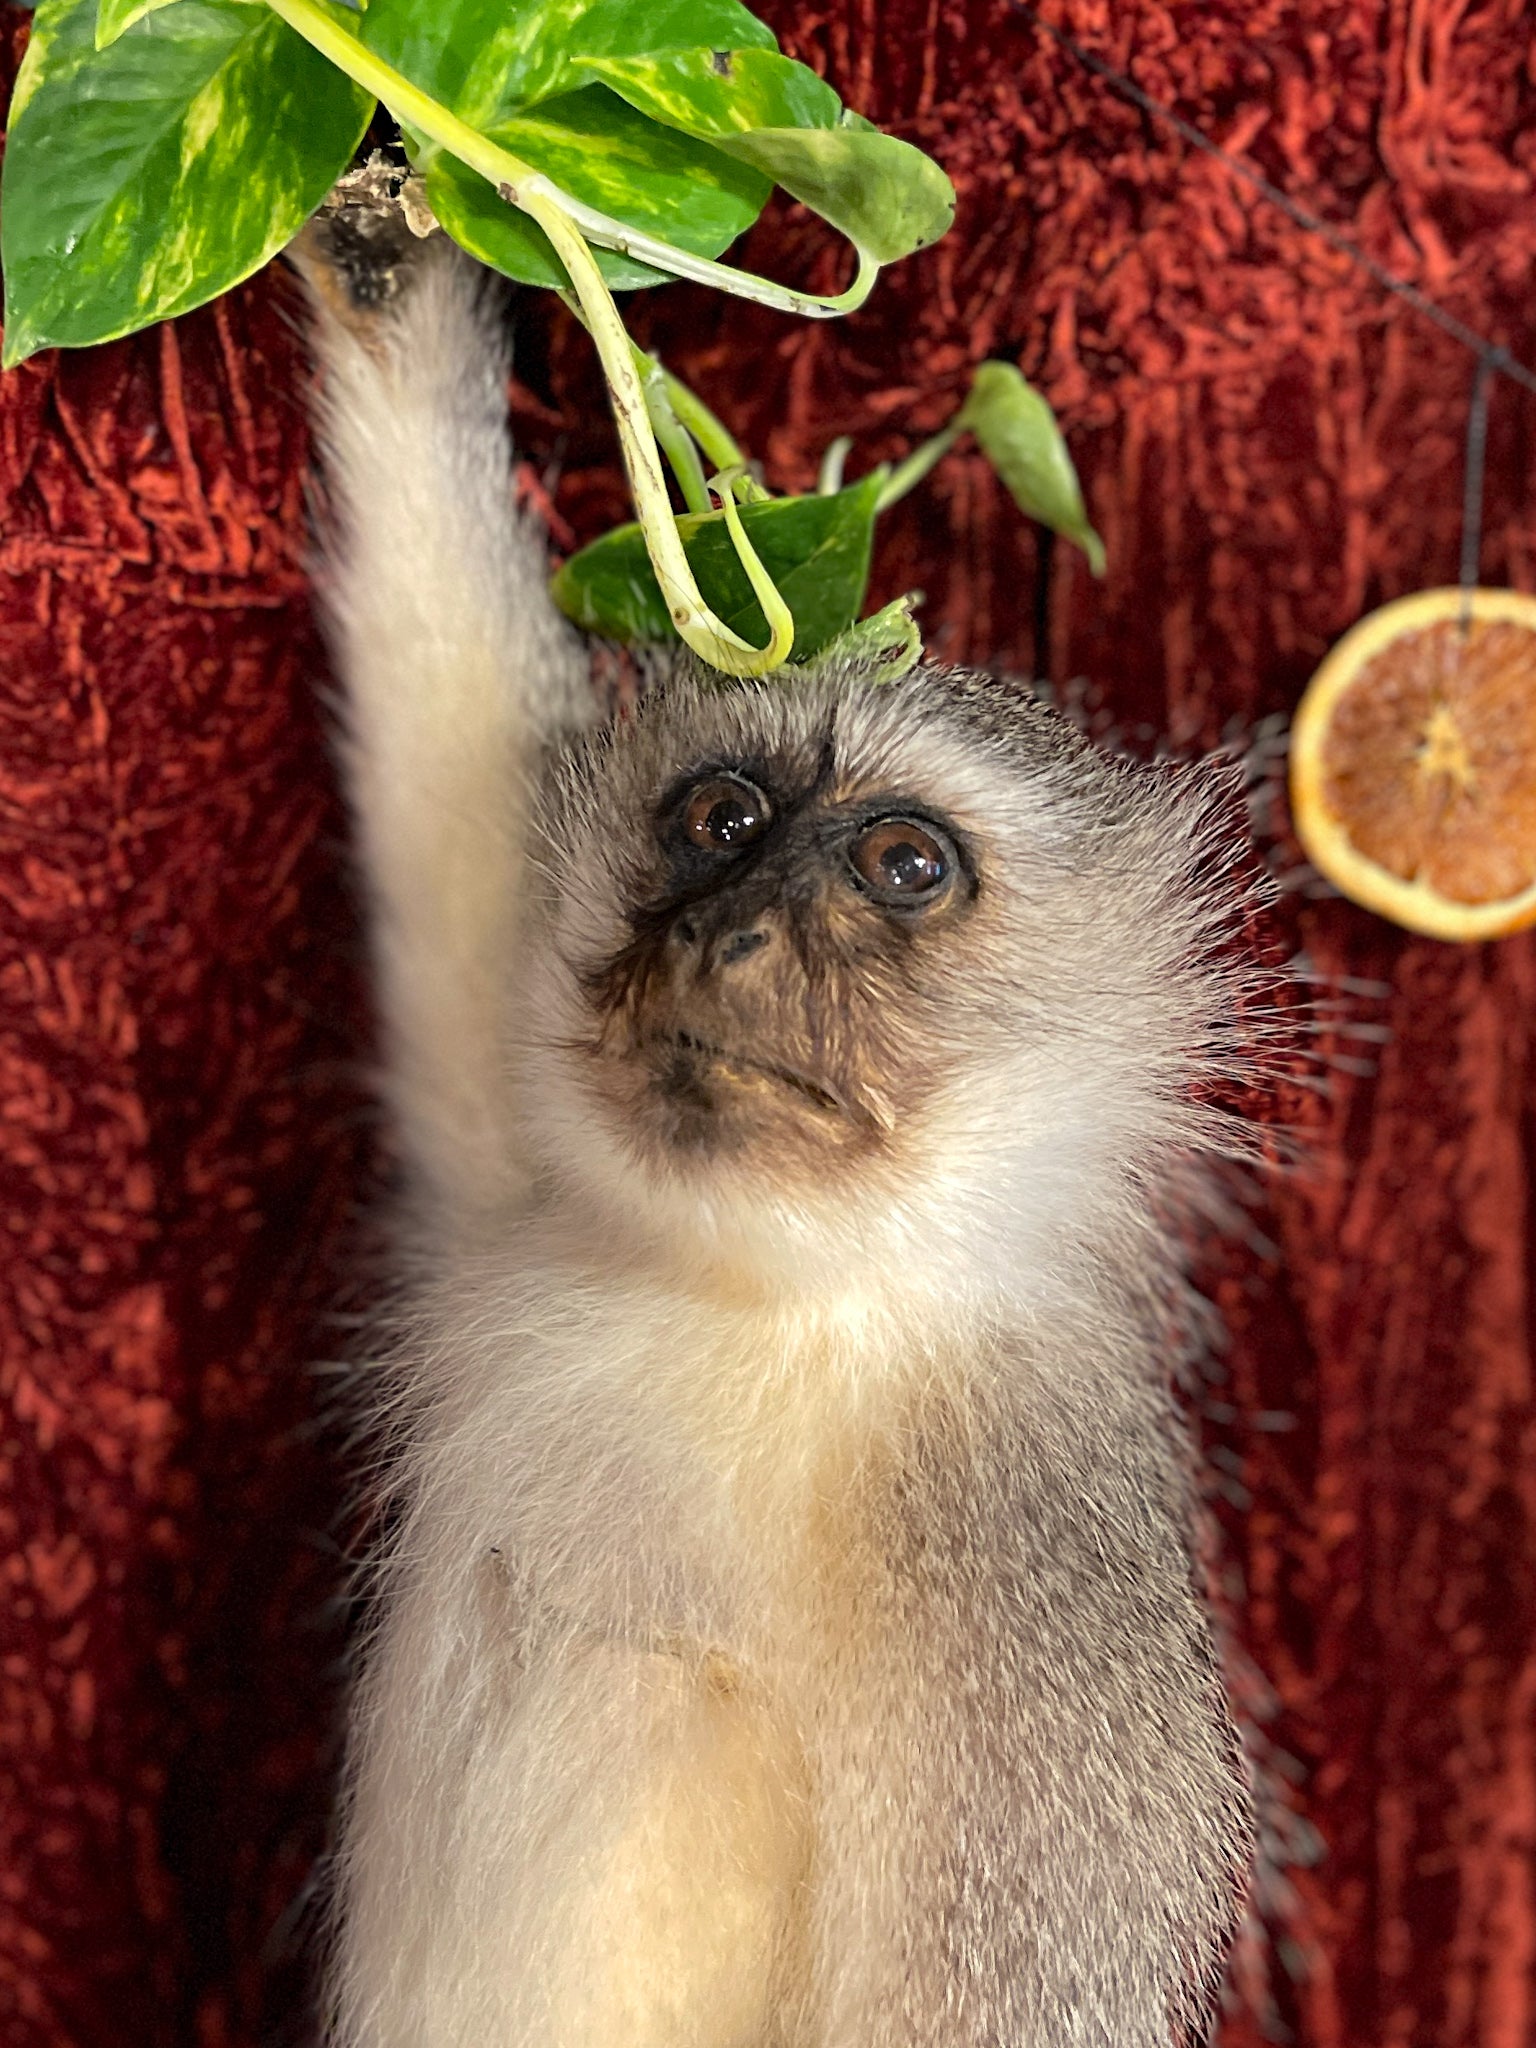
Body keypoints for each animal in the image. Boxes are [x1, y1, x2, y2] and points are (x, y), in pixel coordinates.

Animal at [296, 194, 1259, 2048]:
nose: (724, 939)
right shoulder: (531, 1168)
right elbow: (457, 821)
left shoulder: (1030, 1556)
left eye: (903, 866)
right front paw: (399, 263)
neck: (774, 1303)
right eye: (721, 818)